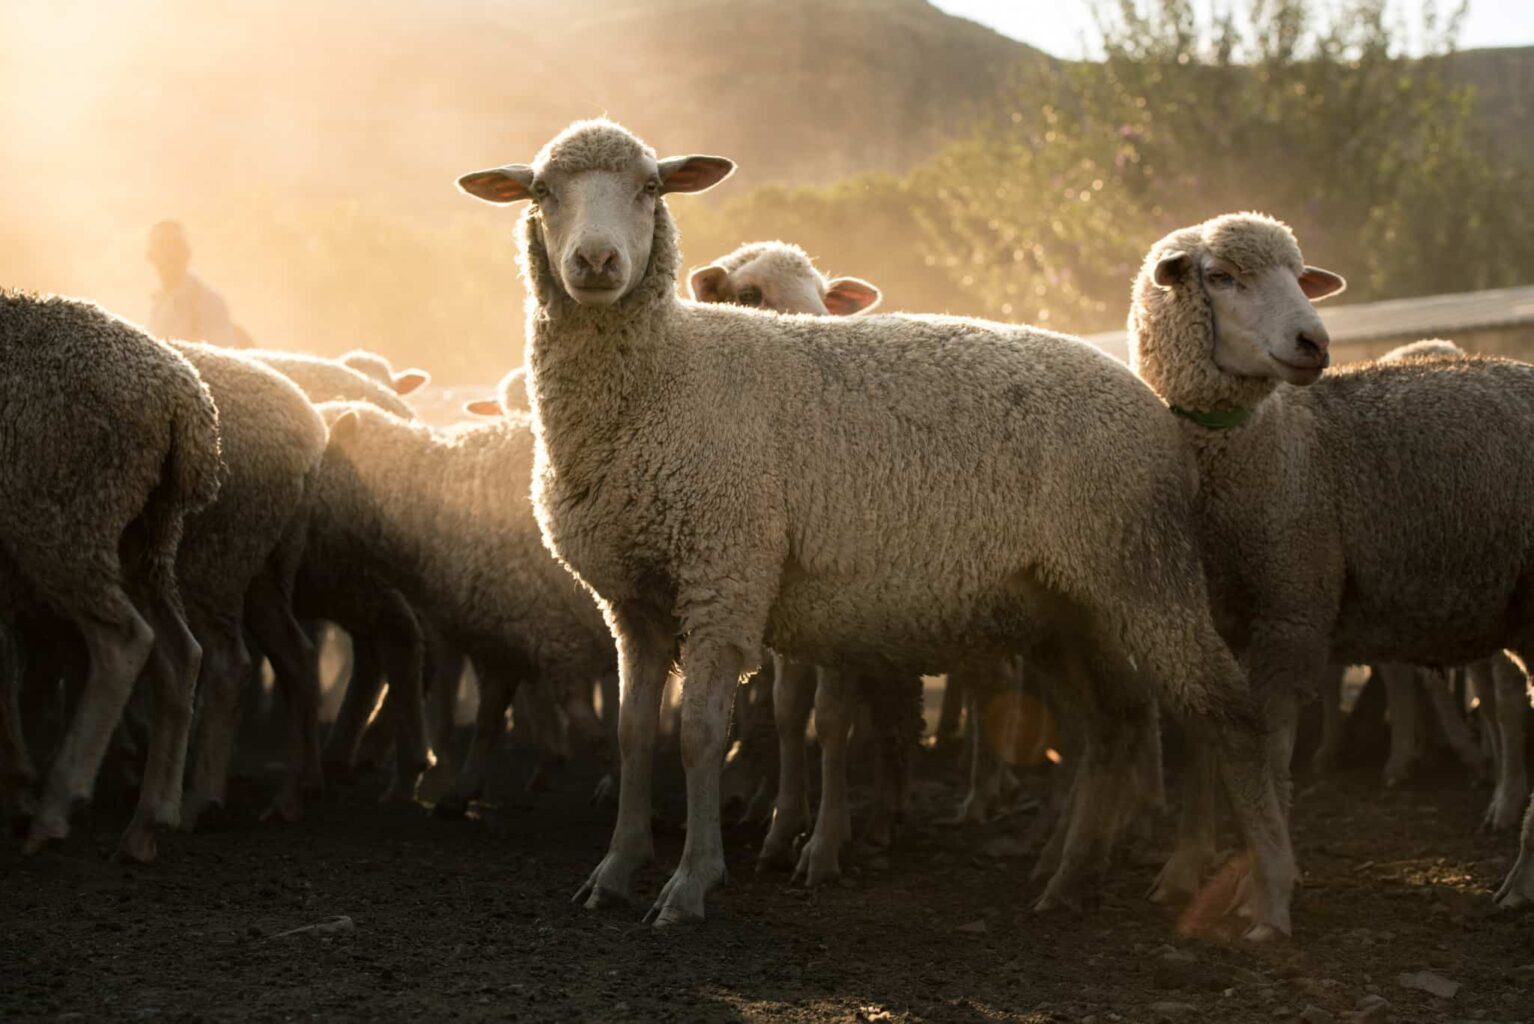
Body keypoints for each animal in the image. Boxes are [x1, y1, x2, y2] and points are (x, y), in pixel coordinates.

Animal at [0, 291, 222, 861]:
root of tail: (182, 397)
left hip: (66, 522)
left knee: (124, 642)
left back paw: (57, 806)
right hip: (146, 541)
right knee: (181, 653)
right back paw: (146, 824)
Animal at [308, 399, 617, 815]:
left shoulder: (559, 640)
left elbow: (594, 732)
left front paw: (619, 785)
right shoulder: (505, 633)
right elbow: (488, 721)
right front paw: (461, 792)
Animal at [455, 118, 1293, 936]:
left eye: (650, 188)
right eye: (542, 192)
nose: (597, 261)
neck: (669, 376)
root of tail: (1151, 403)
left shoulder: (724, 573)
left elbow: (698, 735)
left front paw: (692, 882)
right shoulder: (631, 599)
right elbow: (635, 735)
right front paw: (616, 870)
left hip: (1142, 571)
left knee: (1228, 715)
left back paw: (1264, 896)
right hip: (1065, 605)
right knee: (1111, 726)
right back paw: (1069, 880)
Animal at [1125, 211, 1534, 909]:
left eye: (1299, 276)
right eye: (1220, 277)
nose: (1313, 342)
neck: (1270, 446)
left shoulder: (1293, 610)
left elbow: (1270, 754)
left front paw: (1264, 881)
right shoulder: (1208, 622)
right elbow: (1210, 744)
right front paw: (1185, 867)